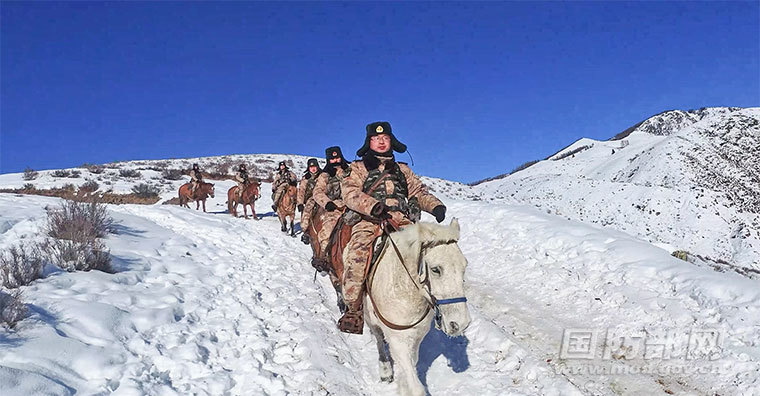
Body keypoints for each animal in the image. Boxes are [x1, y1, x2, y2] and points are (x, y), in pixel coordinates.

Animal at [362, 220, 470, 396]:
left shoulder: (417, 337)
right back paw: (385, 371)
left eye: (464, 267)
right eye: (435, 269)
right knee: (378, 337)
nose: (460, 324)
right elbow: (415, 386)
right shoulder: (397, 341)